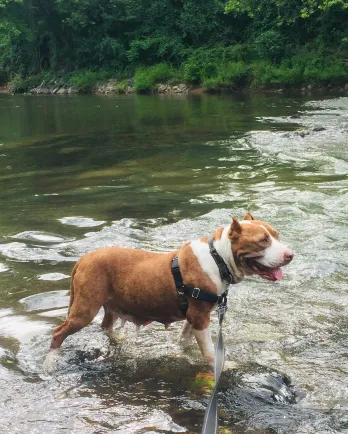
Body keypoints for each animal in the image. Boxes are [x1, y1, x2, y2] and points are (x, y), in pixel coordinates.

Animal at [48, 212, 294, 364]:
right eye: (263, 240)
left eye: (276, 235)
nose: (290, 255)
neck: (218, 258)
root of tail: (84, 258)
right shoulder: (199, 317)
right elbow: (209, 351)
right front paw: (221, 366)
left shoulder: (194, 316)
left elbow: (184, 340)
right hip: (85, 308)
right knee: (58, 333)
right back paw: (50, 362)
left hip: (111, 305)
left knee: (106, 327)